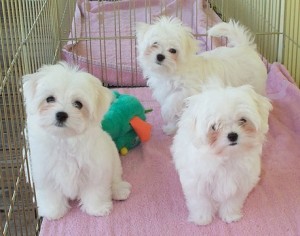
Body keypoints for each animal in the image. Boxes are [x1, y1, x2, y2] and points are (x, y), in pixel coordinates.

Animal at [22, 61, 131, 220]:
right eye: (49, 99)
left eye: (78, 104)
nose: (61, 115)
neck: (65, 140)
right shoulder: (44, 172)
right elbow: (50, 193)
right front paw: (53, 211)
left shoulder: (95, 168)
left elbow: (95, 190)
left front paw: (97, 208)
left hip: (113, 158)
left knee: (115, 177)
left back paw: (119, 190)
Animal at [136, 16, 268, 135]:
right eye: (155, 44)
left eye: (173, 50)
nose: (160, 56)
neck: (172, 72)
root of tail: (245, 47)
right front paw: (171, 129)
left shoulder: (189, 90)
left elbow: (174, 102)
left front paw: (167, 111)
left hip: (254, 85)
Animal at [171, 84, 272, 225]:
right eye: (214, 126)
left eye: (243, 120)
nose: (232, 135)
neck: (226, 157)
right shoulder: (197, 182)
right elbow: (201, 201)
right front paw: (202, 218)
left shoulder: (240, 183)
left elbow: (232, 201)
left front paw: (230, 215)